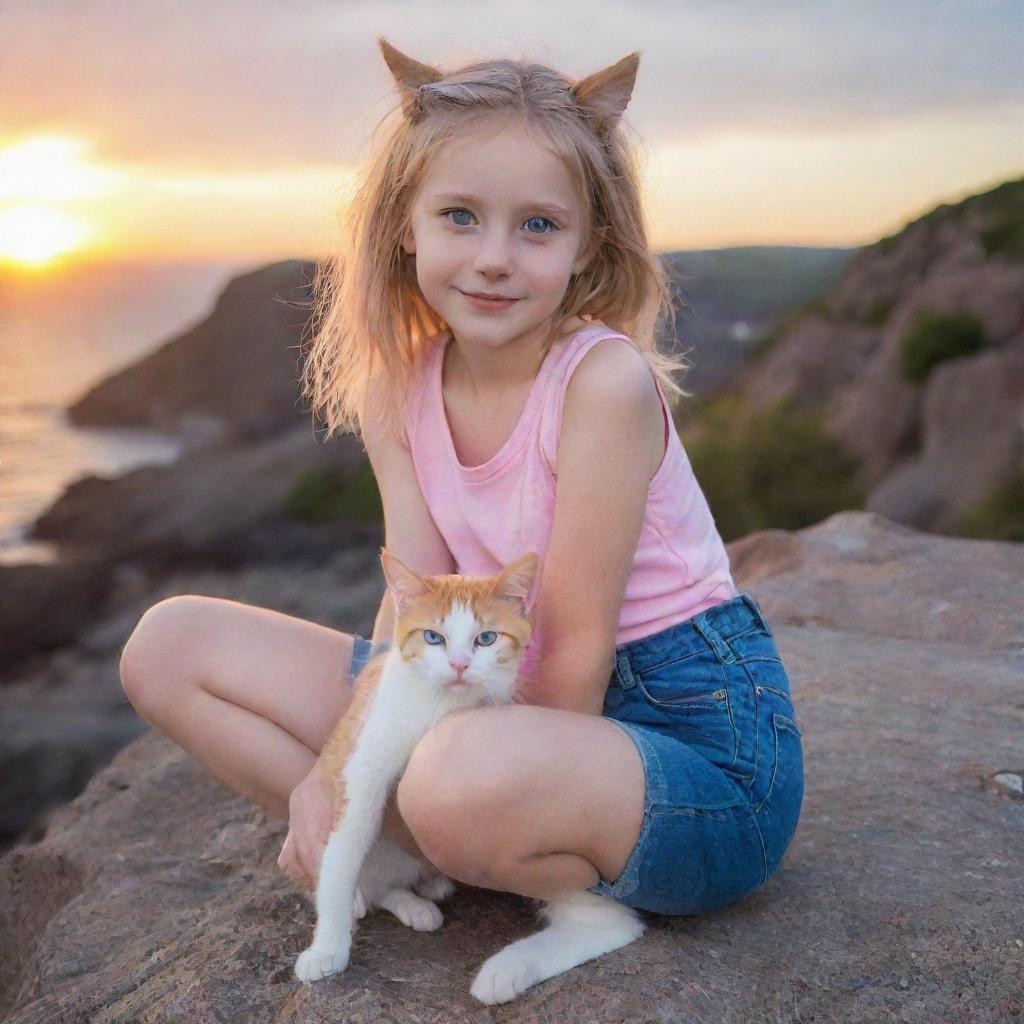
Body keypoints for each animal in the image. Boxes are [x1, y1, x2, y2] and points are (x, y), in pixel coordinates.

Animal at [296, 548, 643, 1003]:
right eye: (433, 638)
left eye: (486, 639)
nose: (460, 664)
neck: (440, 706)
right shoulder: (364, 765)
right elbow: (343, 851)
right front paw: (327, 948)